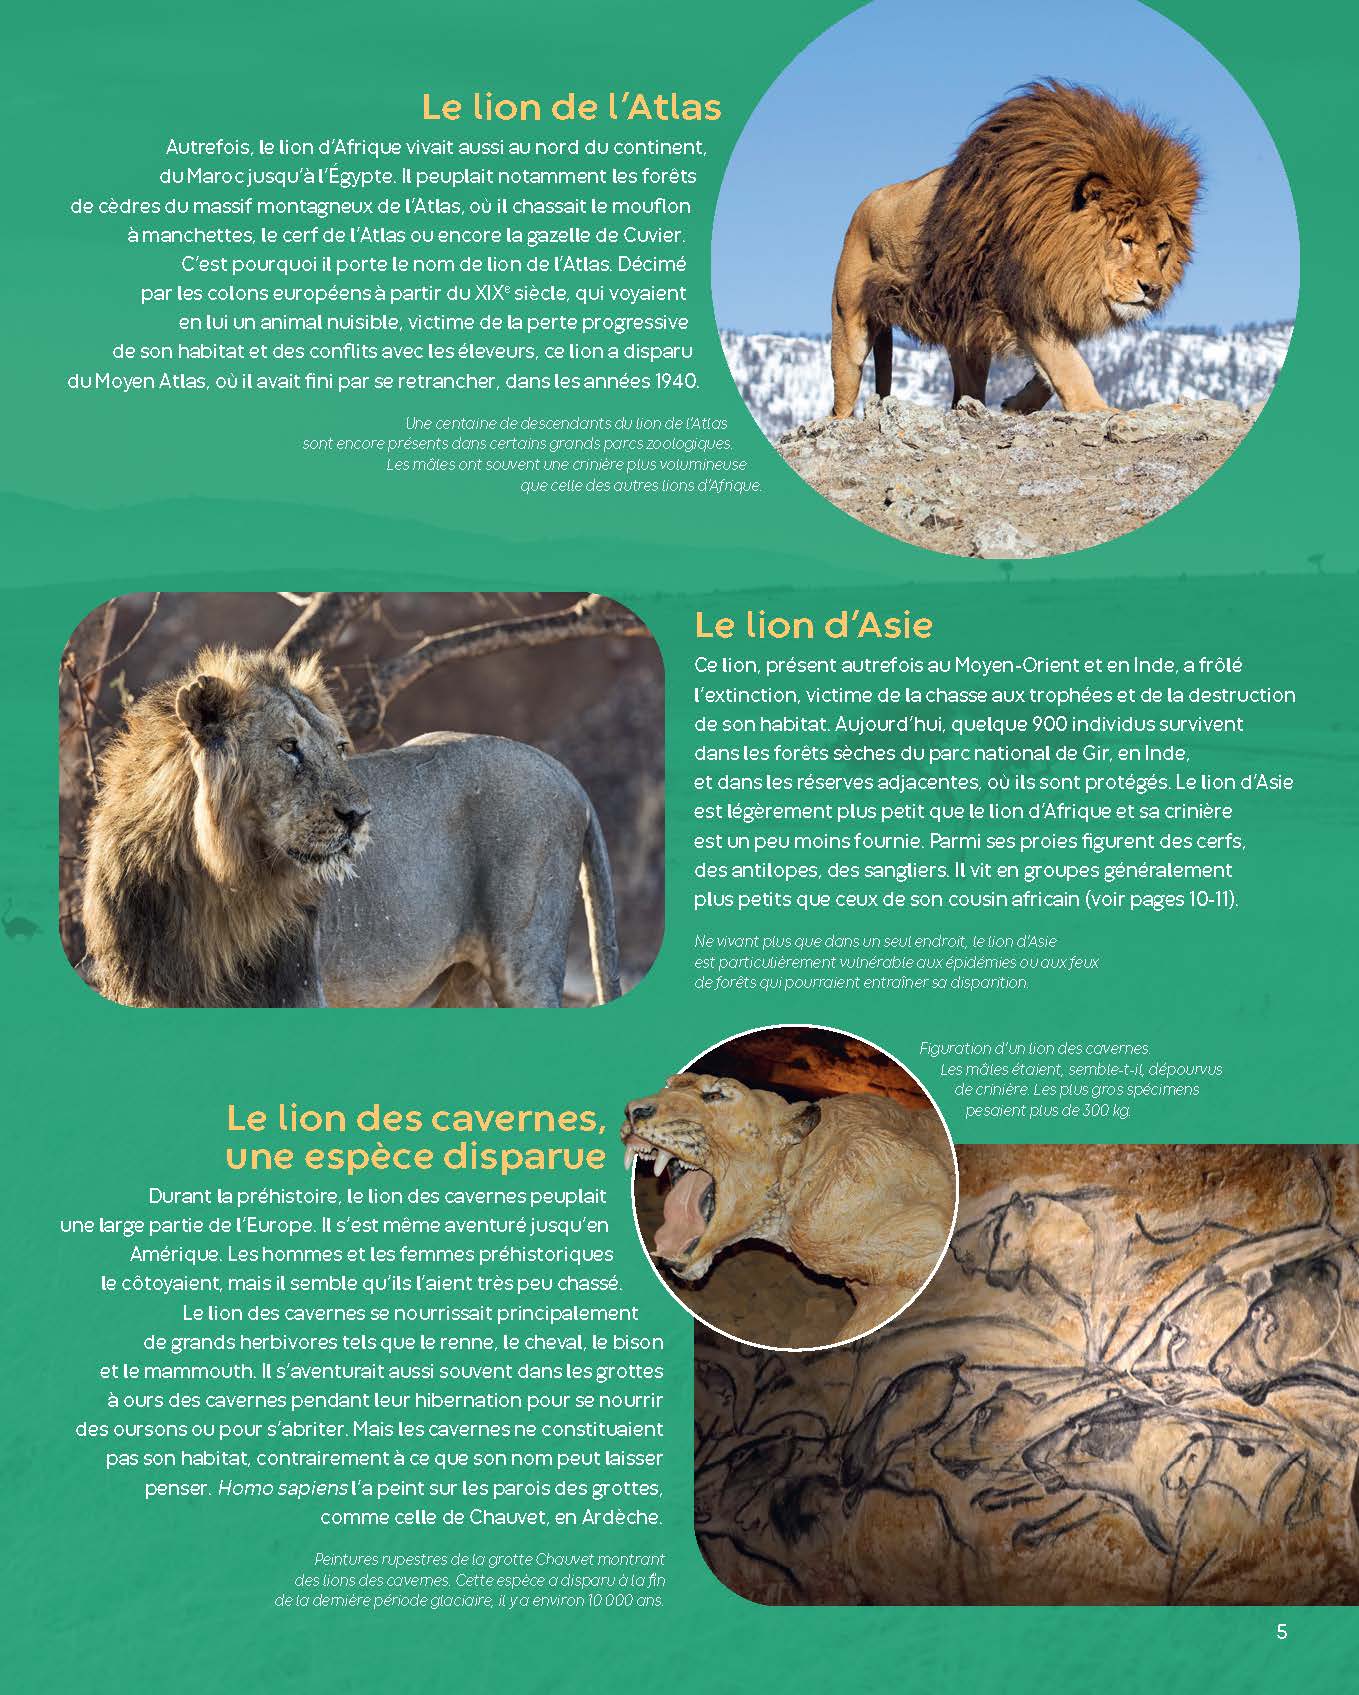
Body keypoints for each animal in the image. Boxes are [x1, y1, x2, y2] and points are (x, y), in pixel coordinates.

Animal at [79, 646, 621, 1009]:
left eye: (339, 747)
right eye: (289, 747)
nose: (360, 815)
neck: (209, 884)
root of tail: (565, 774)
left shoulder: (294, 991)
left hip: (524, 964)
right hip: (463, 984)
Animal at [830, 81, 1199, 417]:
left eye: (1162, 246)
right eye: (1127, 240)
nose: (1153, 289)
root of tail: (865, 203)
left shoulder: (1045, 299)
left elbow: (1050, 369)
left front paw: (1017, 405)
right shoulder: (1020, 296)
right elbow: (1068, 364)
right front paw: (1096, 408)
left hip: (967, 338)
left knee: (965, 388)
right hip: (848, 326)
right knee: (842, 399)